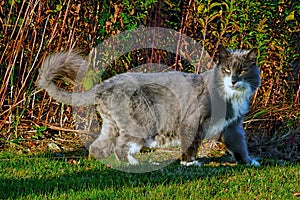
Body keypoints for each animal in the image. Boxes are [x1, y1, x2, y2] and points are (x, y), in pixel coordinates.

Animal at [38, 44, 260, 166]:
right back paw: (135, 164)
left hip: (112, 124)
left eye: (242, 70)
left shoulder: (233, 126)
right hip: (142, 123)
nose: (233, 80)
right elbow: (191, 143)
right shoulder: (193, 121)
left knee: (98, 147)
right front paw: (189, 163)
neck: (232, 96)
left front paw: (249, 162)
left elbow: (239, 145)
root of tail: (105, 84)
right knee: (121, 147)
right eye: (227, 69)